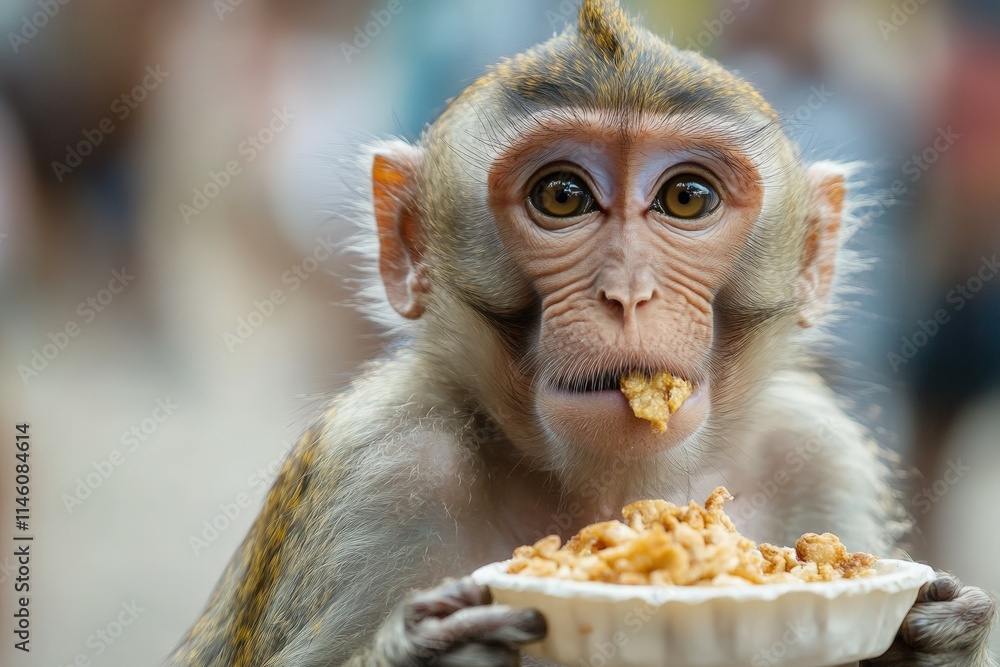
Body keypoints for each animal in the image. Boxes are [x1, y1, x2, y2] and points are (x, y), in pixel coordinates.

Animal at [169, 2, 996, 666]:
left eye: (686, 197)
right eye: (562, 195)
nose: (628, 291)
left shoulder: (817, 453)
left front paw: (935, 637)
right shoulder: (378, 465)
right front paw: (435, 651)